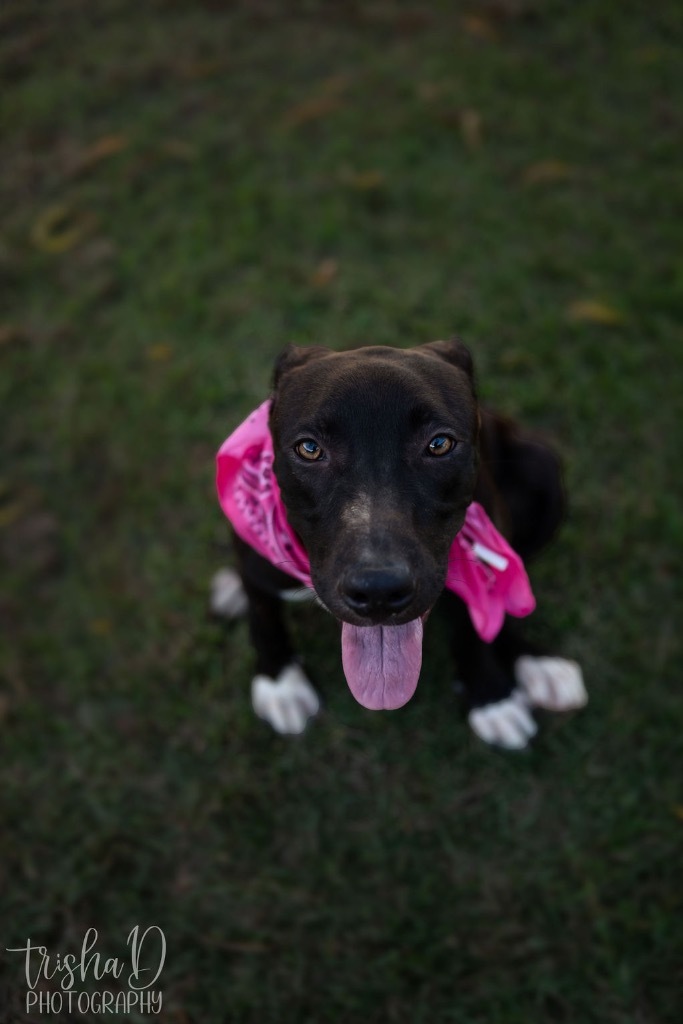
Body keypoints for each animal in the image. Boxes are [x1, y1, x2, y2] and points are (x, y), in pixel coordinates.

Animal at [214, 339, 589, 749]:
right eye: (309, 449)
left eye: (439, 444)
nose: (378, 590)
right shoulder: (255, 561)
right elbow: (265, 618)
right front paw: (280, 683)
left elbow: (475, 624)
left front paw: (490, 696)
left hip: (542, 469)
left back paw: (537, 664)